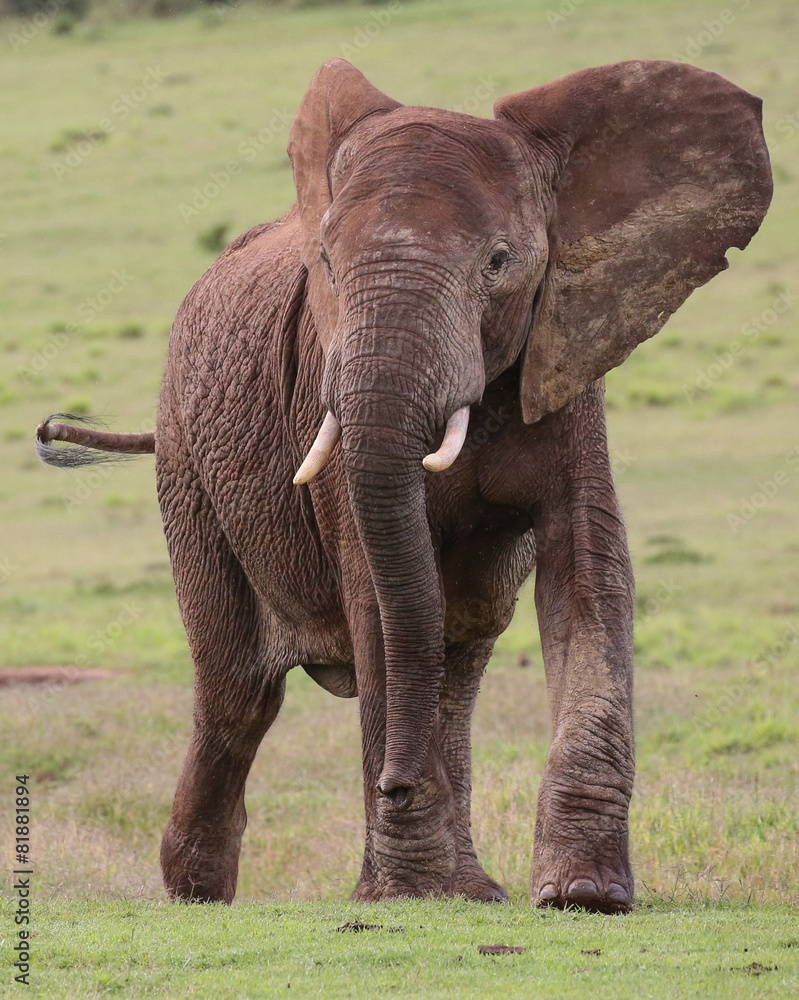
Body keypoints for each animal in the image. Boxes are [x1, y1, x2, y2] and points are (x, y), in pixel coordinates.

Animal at [37, 58, 771, 912]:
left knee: (458, 652)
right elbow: (378, 597)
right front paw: (410, 894)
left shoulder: (566, 355)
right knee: (238, 690)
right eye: (325, 264)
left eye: (497, 263)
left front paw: (582, 896)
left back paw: (468, 885)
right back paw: (198, 894)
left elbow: (589, 572)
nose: (393, 784)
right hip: (187, 460)